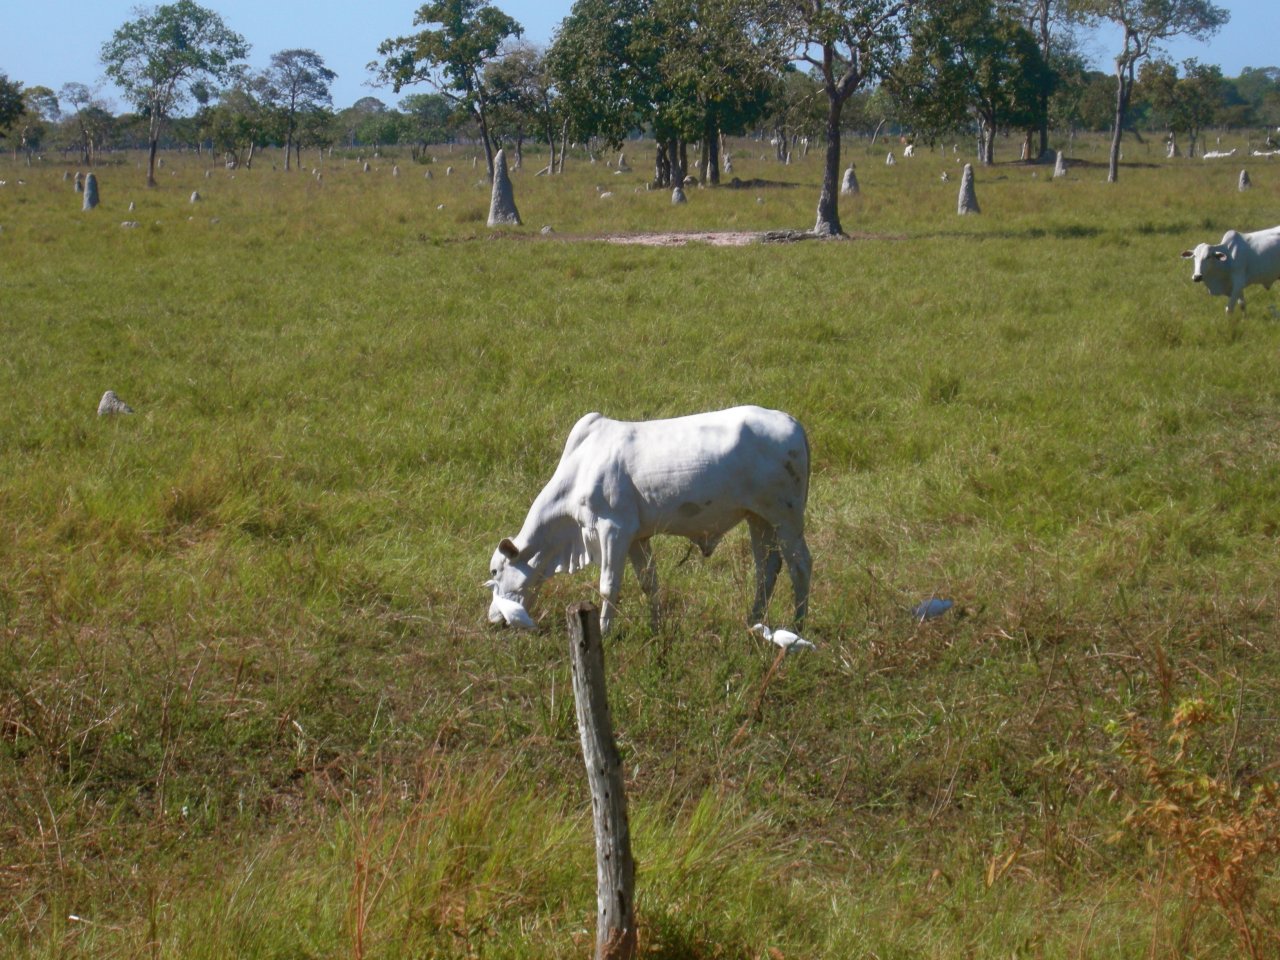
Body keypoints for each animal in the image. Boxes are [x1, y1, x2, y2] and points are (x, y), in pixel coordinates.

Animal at [487, 406, 812, 634]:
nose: (492, 619)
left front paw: (605, 632)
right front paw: (656, 628)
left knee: (800, 566)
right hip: (759, 518)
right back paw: (753, 622)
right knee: (766, 569)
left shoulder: (613, 530)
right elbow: (649, 584)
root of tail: (792, 422)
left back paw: (797, 626)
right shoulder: (637, 537)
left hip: (787, 517)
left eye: (494, 571)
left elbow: (608, 586)